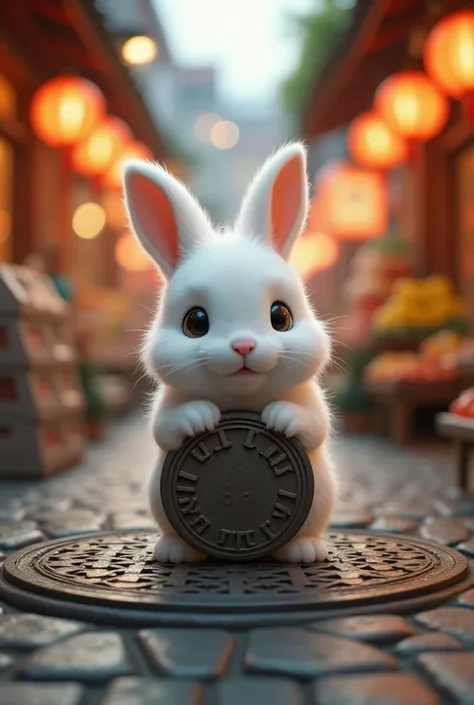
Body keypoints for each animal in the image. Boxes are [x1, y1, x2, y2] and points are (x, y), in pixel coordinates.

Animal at [122, 140, 336, 564]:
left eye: (280, 316)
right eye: (195, 322)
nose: (243, 345)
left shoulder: (312, 402)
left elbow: (315, 424)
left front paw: (280, 418)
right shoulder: (166, 406)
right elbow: (164, 427)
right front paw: (199, 419)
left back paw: (305, 551)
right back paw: (174, 552)